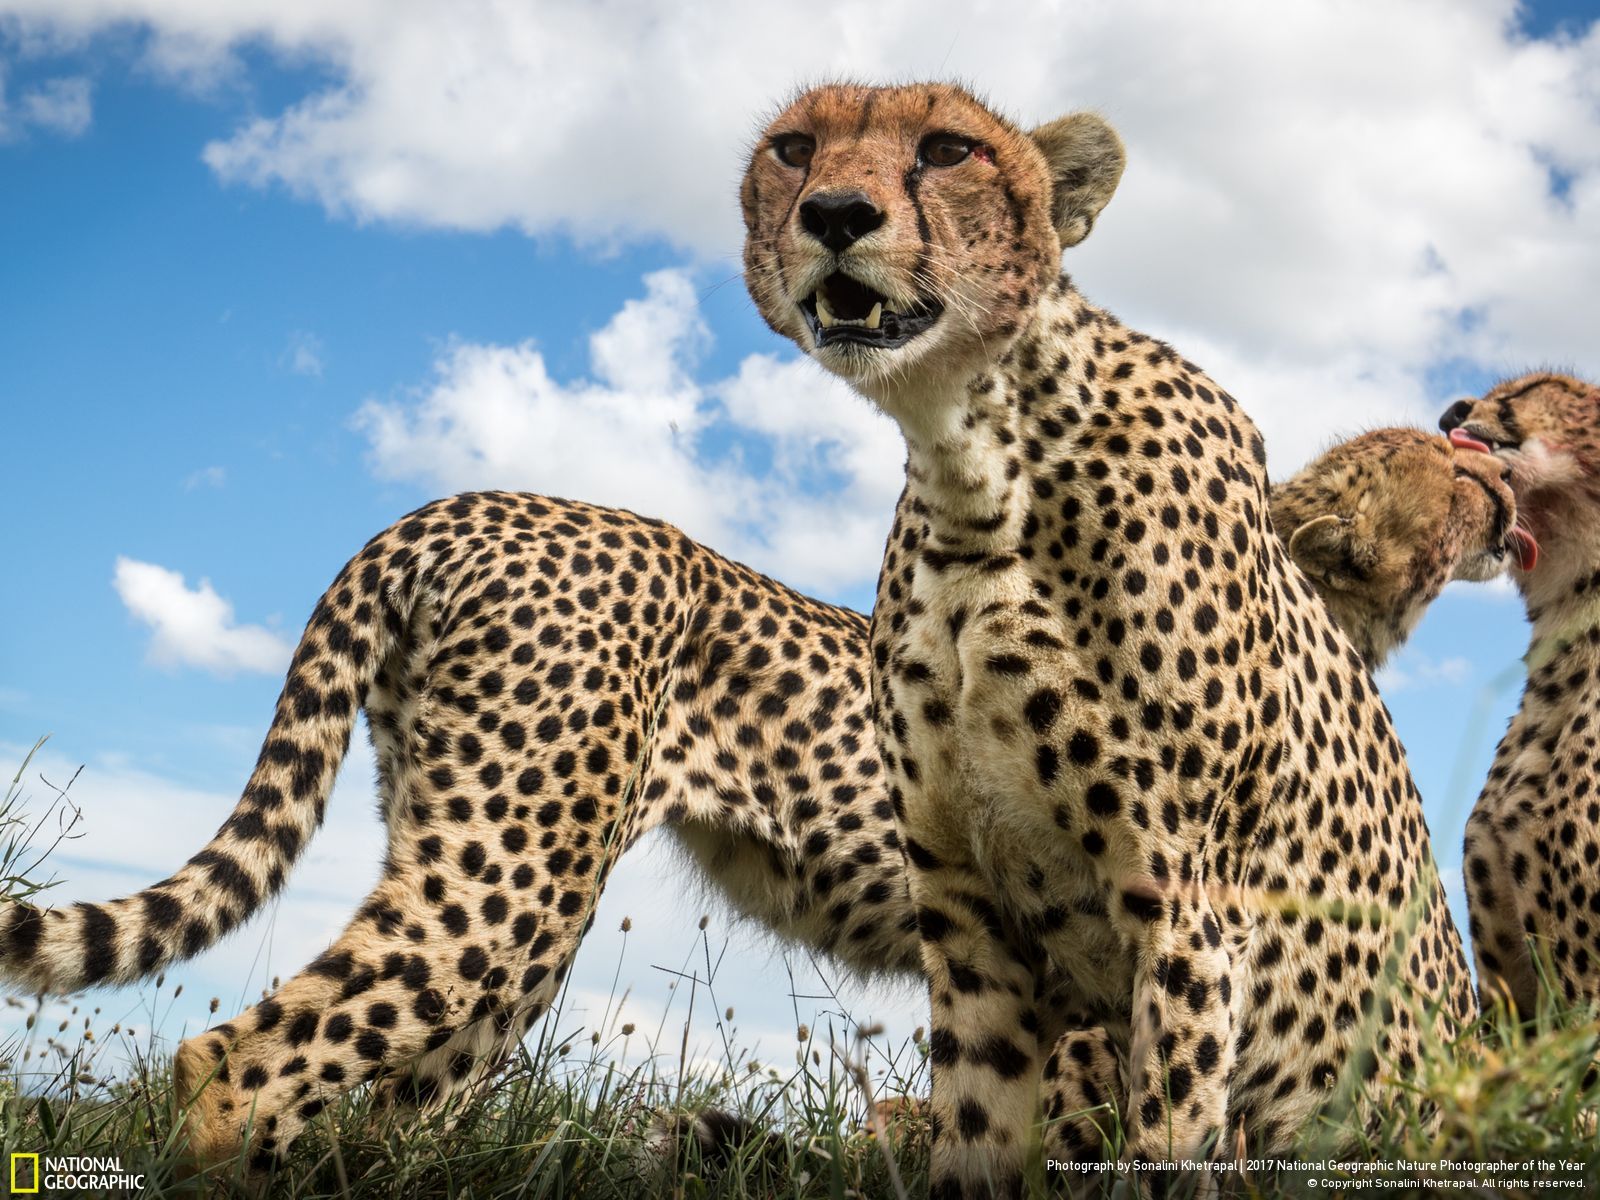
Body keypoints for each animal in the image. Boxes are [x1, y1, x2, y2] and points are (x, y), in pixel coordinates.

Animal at [742, 82, 1478, 1196]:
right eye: (792, 148)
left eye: (948, 149)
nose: (833, 213)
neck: (977, 475)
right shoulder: (966, 914)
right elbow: (976, 1128)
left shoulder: (1185, 912)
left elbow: (1168, 1144)